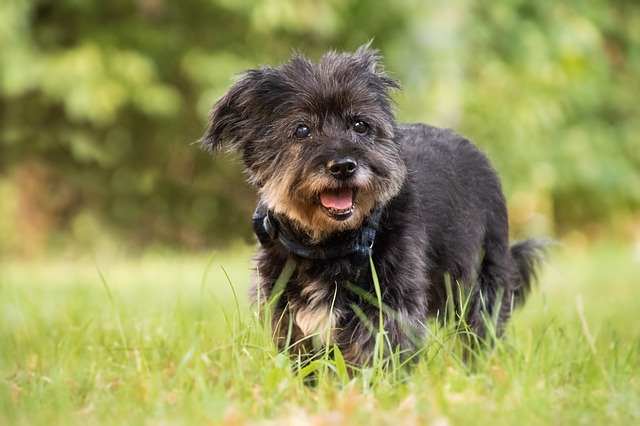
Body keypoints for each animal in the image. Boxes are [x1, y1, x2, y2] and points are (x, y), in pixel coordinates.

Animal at [201, 43, 544, 366]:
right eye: (301, 130)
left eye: (360, 125)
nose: (343, 166)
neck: (329, 244)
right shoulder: (286, 303)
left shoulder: (390, 301)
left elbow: (378, 349)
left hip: (482, 279)